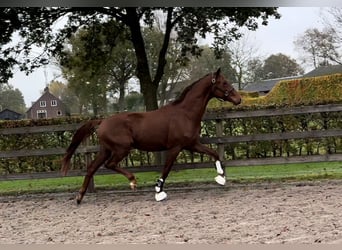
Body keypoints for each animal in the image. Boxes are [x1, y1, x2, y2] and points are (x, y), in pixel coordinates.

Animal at [62, 68, 242, 203]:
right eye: (224, 82)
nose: (239, 99)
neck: (185, 113)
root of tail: (102, 121)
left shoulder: (192, 144)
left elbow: (214, 153)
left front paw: (221, 178)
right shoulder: (175, 147)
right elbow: (166, 169)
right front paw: (158, 192)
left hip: (105, 149)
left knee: (92, 168)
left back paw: (79, 197)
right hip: (122, 148)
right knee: (109, 165)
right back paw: (132, 181)